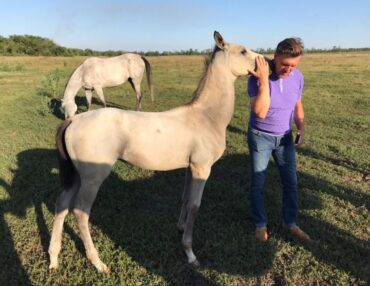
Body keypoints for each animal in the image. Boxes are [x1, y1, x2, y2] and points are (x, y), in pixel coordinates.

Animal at [49, 31, 260, 272]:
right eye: (243, 51)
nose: (267, 62)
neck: (206, 116)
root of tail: (74, 120)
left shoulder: (190, 168)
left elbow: (185, 199)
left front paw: (180, 228)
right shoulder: (202, 168)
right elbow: (195, 206)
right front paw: (190, 253)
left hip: (76, 176)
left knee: (61, 204)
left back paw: (53, 257)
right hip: (92, 178)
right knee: (80, 212)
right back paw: (97, 262)